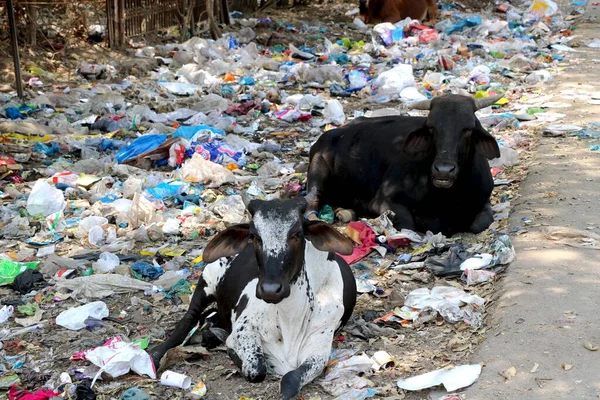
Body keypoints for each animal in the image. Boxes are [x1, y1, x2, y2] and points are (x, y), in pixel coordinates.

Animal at [149, 192, 356, 398]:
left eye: (297, 234)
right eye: (255, 236)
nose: (270, 289)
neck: (289, 320)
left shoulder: (319, 349)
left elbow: (291, 380)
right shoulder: (245, 329)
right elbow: (255, 369)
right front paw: (233, 350)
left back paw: (211, 332)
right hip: (206, 281)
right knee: (188, 320)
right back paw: (157, 354)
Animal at [304, 95, 502, 236]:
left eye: (467, 129)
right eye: (432, 128)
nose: (444, 171)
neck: (446, 199)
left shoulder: (484, 201)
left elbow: (480, 223)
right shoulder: (384, 201)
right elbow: (408, 224)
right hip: (317, 170)